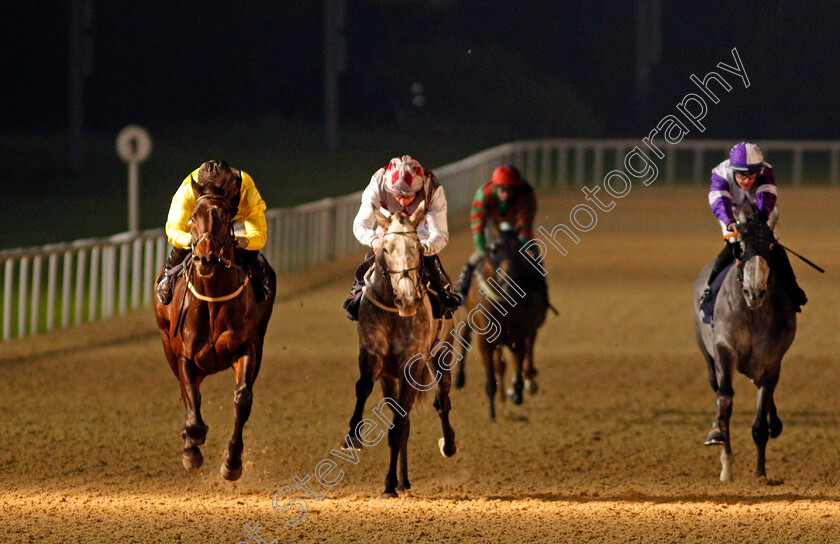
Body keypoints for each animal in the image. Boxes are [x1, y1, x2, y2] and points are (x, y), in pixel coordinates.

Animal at [154, 191, 276, 480]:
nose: (205, 258)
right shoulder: (185, 356)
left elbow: (242, 399)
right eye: (192, 217)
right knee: (188, 393)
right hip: (167, 344)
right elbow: (190, 400)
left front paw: (232, 462)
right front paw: (192, 447)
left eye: (225, 219)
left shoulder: (248, 348)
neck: (212, 299)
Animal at [342, 202, 460, 500]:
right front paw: (353, 436)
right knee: (403, 419)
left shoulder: (411, 364)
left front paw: (389, 484)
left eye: (417, 247)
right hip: (390, 378)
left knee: (441, 401)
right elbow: (363, 388)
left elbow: (399, 426)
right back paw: (403, 480)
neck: (395, 314)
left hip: (442, 354)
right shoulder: (372, 355)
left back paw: (447, 445)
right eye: (385, 248)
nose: (407, 299)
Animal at [456, 223, 548, 418]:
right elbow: (491, 377)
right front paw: (492, 410)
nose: (508, 283)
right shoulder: (485, 340)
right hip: (466, 319)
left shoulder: (519, 336)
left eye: (519, 249)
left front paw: (517, 393)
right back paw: (459, 379)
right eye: (493, 249)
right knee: (464, 341)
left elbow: (517, 362)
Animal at [692, 203, 796, 480]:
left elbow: (760, 418)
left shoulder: (772, 361)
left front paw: (760, 474)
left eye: (771, 246)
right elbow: (725, 398)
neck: (751, 313)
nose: (754, 291)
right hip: (709, 359)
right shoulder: (724, 349)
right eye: (740, 247)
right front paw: (724, 458)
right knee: (718, 388)